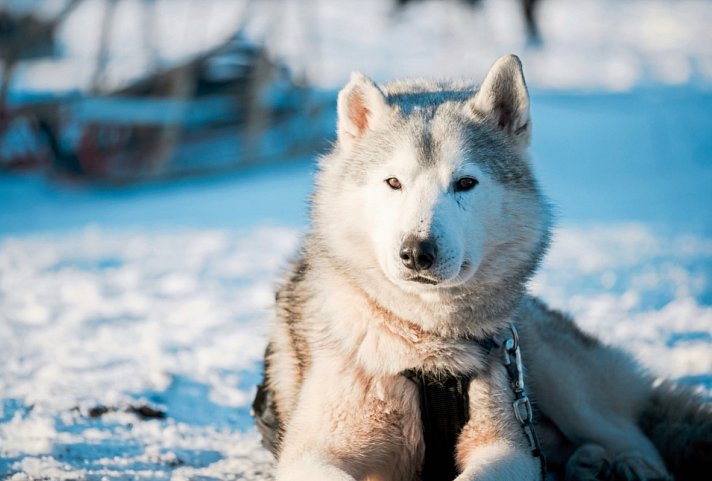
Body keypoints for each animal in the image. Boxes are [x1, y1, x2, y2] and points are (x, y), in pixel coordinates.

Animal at [252, 54, 712, 478]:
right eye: (393, 182)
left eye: (465, 183)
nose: (417, 252)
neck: (426, 346)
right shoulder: (314, 453)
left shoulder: (508, 447)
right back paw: (587, 464)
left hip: (557, 381)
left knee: (637, 438)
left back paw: (627, 465)